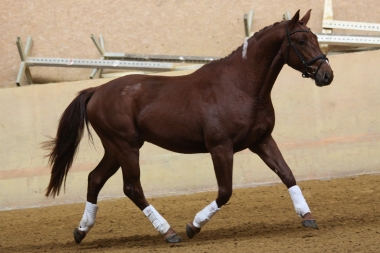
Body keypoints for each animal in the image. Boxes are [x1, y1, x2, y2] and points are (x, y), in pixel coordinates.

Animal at [44, 9, 334, 243]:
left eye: (316, 38)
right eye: (300, 41)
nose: (326, 75)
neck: (240, 86)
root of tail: (96, 91)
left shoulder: (261, 141)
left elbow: (287, 175)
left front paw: (308, 217)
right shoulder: (220, 147)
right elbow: (225, 191)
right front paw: (193, 226)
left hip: (116, 149)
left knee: (95, 179)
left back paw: (81, 231)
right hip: (125, 147)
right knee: (132, 188)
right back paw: (169, 233)